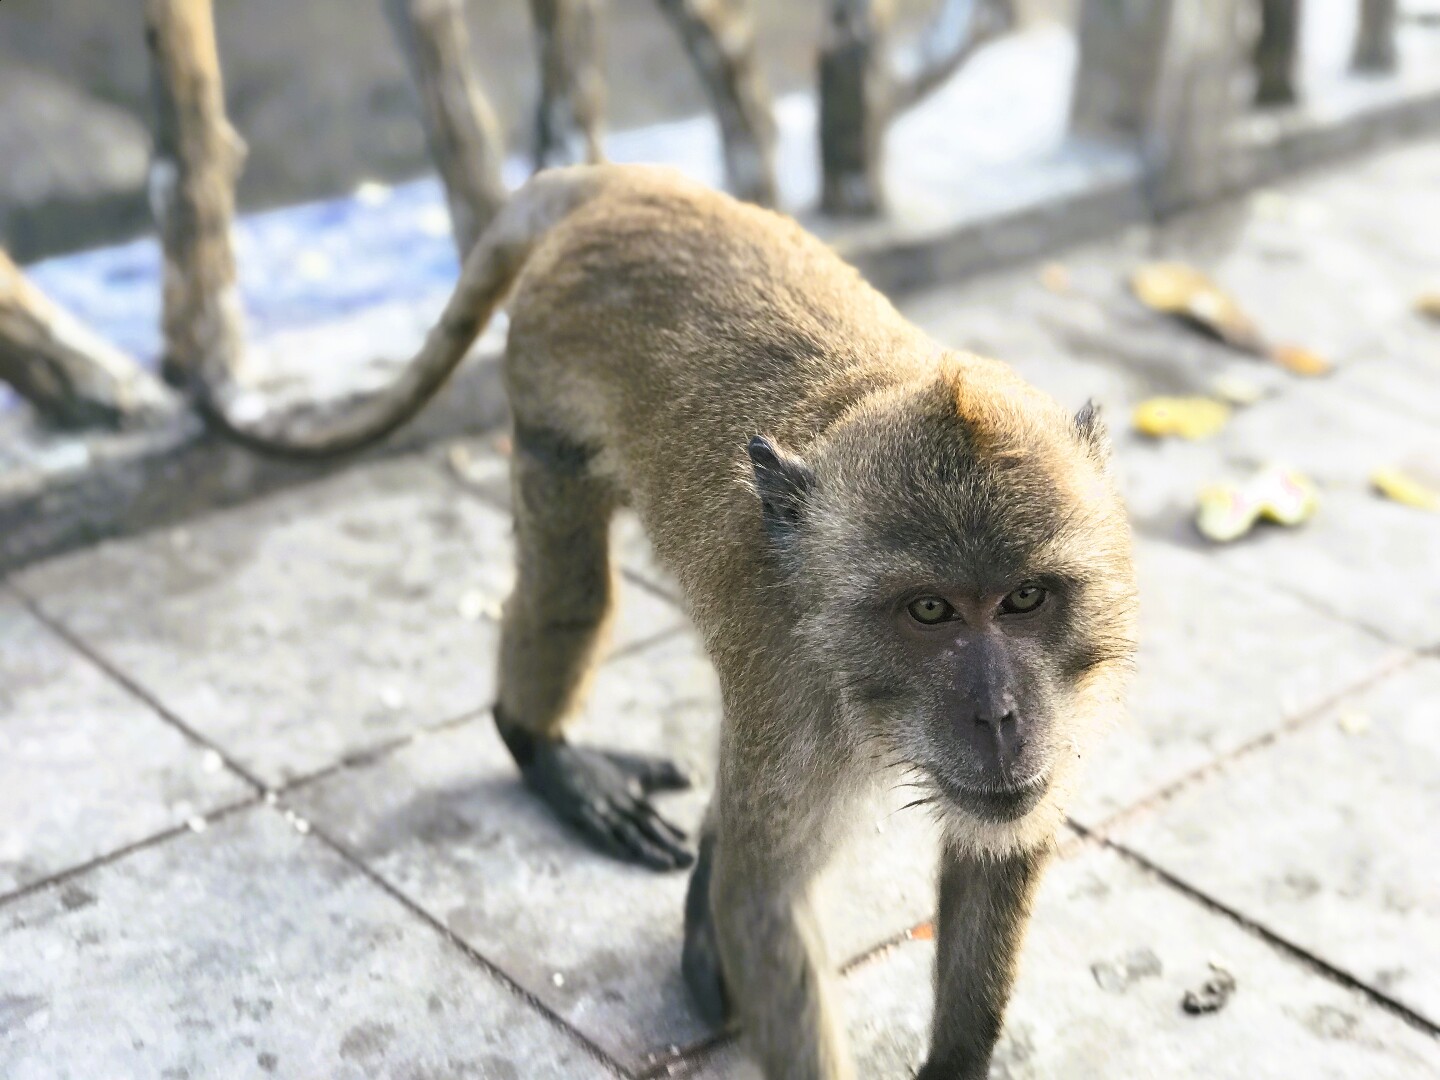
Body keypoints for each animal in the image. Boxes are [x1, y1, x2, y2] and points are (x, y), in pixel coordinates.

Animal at [200, 162, 1134, 1080]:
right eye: (931, 611)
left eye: (1024, 600)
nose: (999, 715)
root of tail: (631, 183)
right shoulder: (797, 692)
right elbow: (764, 901)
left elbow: (1000, 852)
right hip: (545, 375)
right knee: (572, 584)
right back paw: (542, 749)